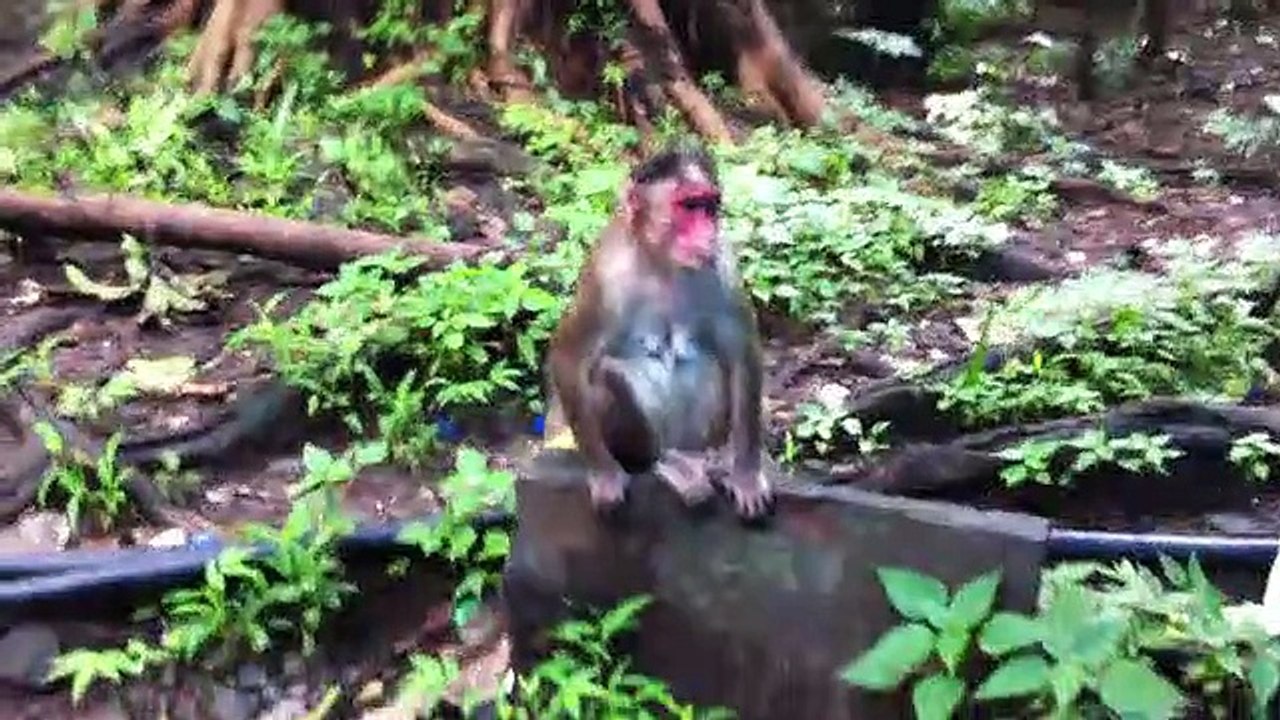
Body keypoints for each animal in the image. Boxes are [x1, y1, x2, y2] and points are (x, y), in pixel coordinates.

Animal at [543, 144, 772, 520]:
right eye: (690, 206)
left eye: (709, 207)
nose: (708, 231)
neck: (661, 260)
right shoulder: (603, 275)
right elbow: (568, 355)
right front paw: (603, 474)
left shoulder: (723, 263)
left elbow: (741, 350)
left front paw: (746, 472)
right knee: (606, 376)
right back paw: (666, 464)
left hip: (698, 434)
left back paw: (702, 460)